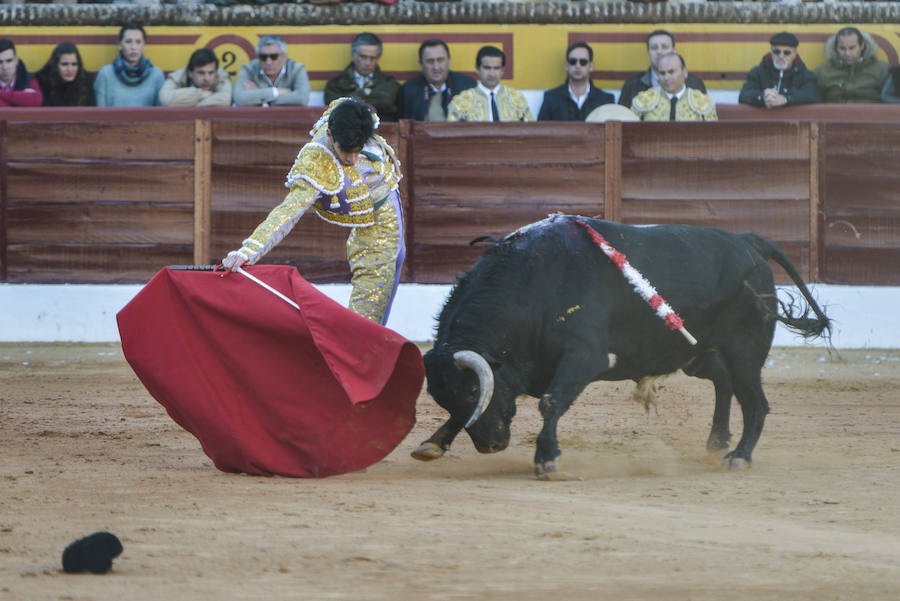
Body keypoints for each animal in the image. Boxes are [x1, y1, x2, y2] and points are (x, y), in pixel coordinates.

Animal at [414, 213, 828, 476]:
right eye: (445, 397)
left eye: (474, 391)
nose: (491, 445)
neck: (533, 286)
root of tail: (746, 242)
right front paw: (432, 444)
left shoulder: (584, 357)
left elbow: (551, 402)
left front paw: (546, 458)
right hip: (694, 352)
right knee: (723, 381)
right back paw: (716, 441)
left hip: (745, 351)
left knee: (754, 401)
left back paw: (739, 457)